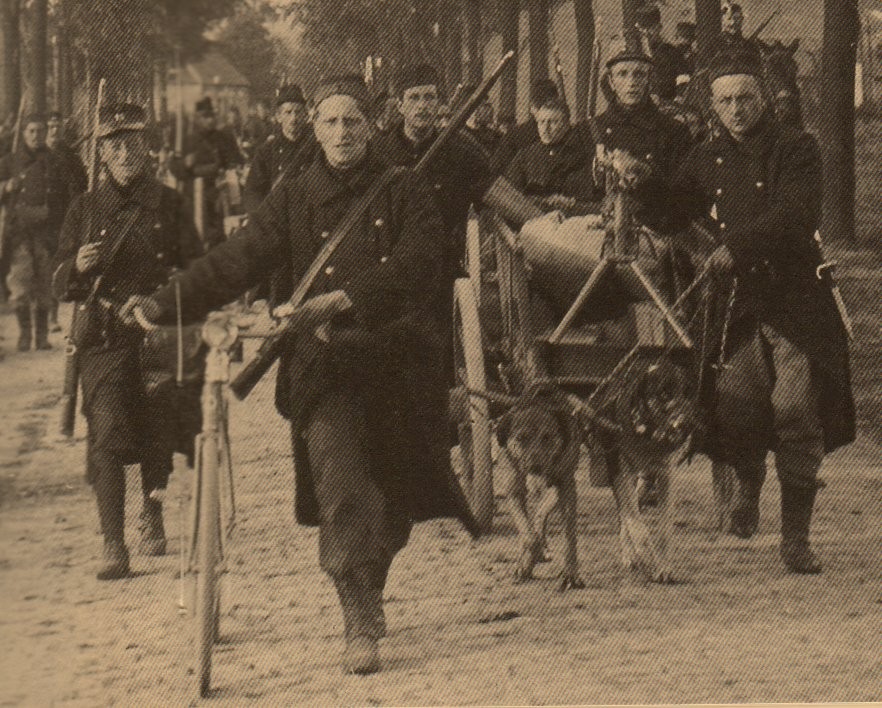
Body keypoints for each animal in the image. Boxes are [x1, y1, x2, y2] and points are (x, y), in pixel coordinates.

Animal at [495, 386, 585, 591]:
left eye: (547, 437)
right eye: (521, 438)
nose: (535, 467)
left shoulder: (566, 486)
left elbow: (569, 534)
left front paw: (571, 573)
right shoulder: (513, 491)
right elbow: (528, 535)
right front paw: (526, 562)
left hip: (556, 489)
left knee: (540, 514)